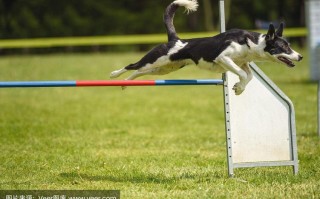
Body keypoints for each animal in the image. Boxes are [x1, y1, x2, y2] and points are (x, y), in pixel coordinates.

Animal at [110, 0, 302, 95]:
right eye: (284, 47)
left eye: (290, 46)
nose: (300, 56)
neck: (250, 43)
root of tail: (175, 39)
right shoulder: (223, 58)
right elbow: (241, 74)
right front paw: (238, 87)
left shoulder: (243, 63)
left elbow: (249, 76)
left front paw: (239, 88)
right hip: (155, 59)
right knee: (132, 66)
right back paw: (114, 75)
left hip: (163, 69)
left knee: (139, 72)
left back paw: (125, 84)